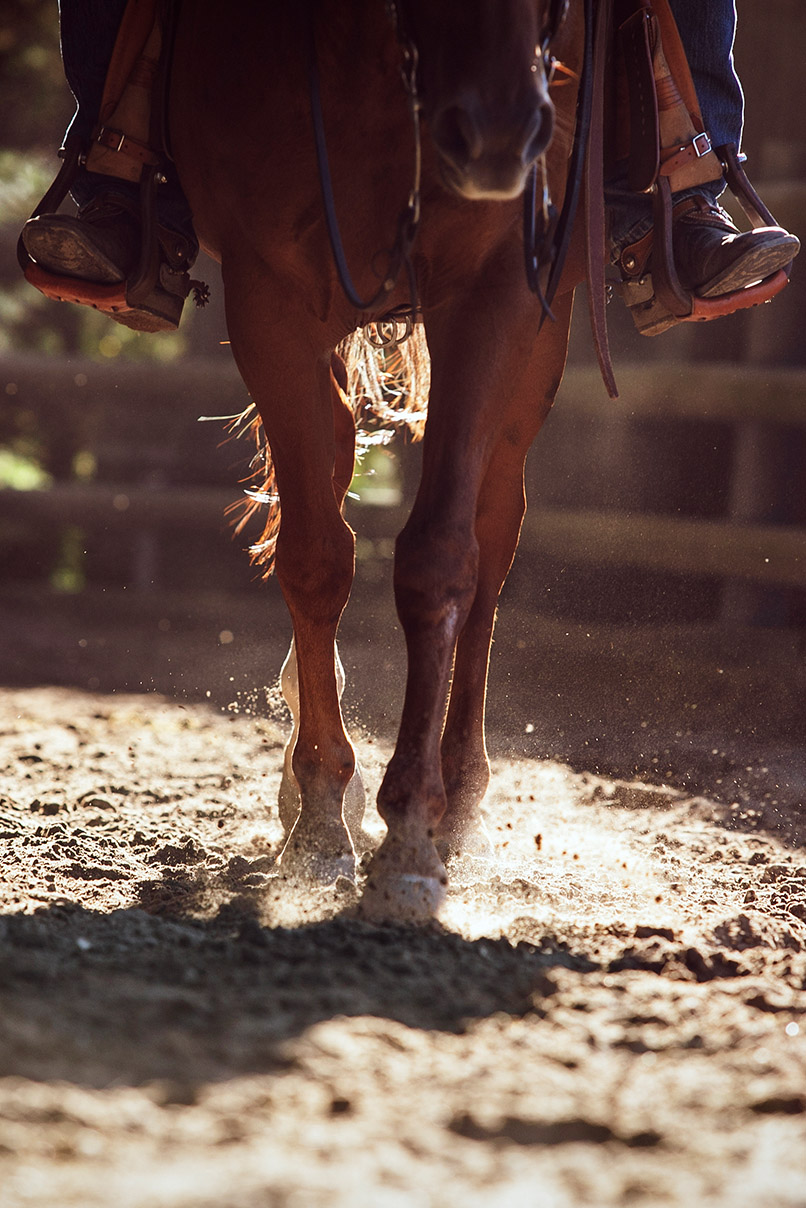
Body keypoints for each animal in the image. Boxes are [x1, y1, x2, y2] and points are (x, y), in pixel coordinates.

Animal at [171, 0, 587, 913]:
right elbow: (316, 558)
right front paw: (323, 820)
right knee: (327, 479)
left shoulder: (500, 284)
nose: (498, 131)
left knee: (492, 537)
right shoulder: (271, 296)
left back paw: (459, 797)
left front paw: (411, 834)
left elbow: (439, 558)